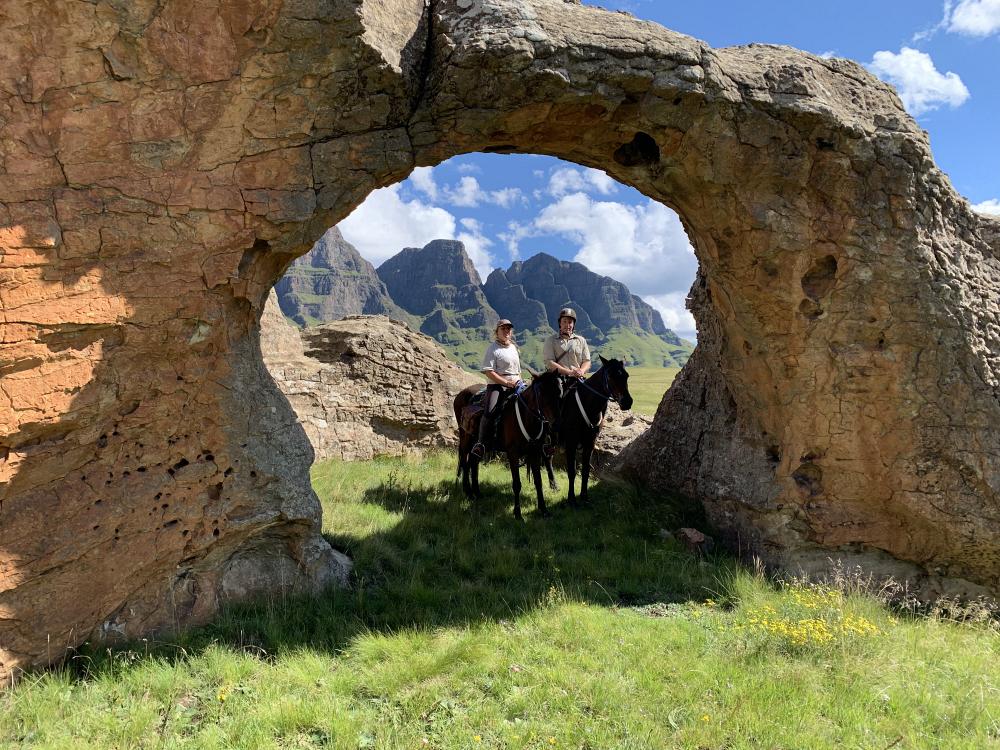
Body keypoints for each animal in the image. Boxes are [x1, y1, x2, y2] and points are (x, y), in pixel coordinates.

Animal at [454, 370, 564, 524]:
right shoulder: (513, 453)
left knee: (473, 462)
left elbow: (538, 481)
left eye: (560, 391)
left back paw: (477, 493)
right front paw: (518, 514)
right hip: (465, 438)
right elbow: (517, 484)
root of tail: (460, 394)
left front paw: (543, 510)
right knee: (465, 462)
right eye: (542, 393)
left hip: (479, 443)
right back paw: (468, 492)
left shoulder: (534, 452)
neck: (526, 417)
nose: (556, 425)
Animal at [548, 356, 632, 508]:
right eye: (610, 376)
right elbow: (572, 471)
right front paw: (571, 500)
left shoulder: (590, 443)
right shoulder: (571, 443)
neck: (588, 405)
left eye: (626, 375)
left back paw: (553, 485)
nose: (627, 402)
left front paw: (584, 497)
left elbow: (586, 470)